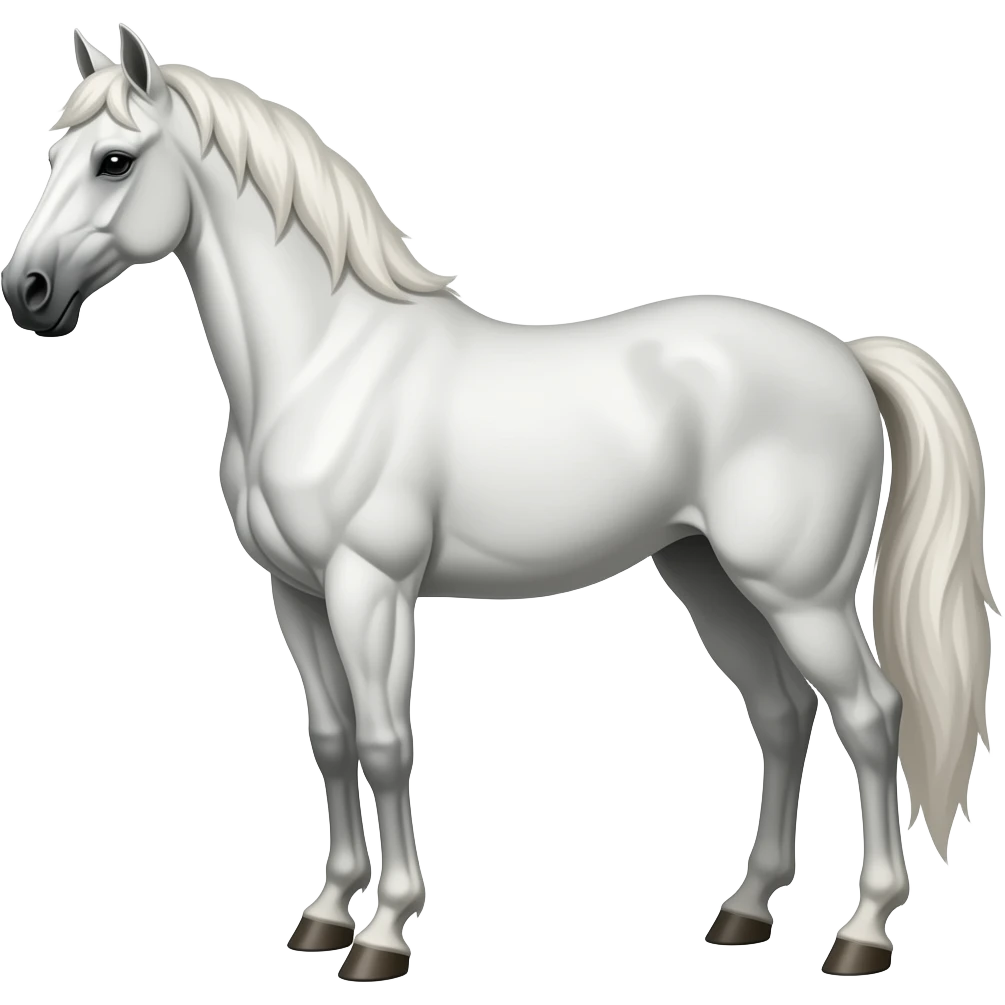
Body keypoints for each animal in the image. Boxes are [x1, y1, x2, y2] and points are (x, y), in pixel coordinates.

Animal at [2, 25, 996, 981]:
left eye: (116, 160)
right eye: (54, 150)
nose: (28, 292)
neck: (325, 362)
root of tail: (845, 356)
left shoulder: (370, 588)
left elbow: (386, 743)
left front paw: (383, 934)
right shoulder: (298, 593)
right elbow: (330, 738)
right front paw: (324, 915)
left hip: (800, 593)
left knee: (870, 716)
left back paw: (862, 931)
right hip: (705, 573)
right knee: (782, 714)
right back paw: (745, 912)